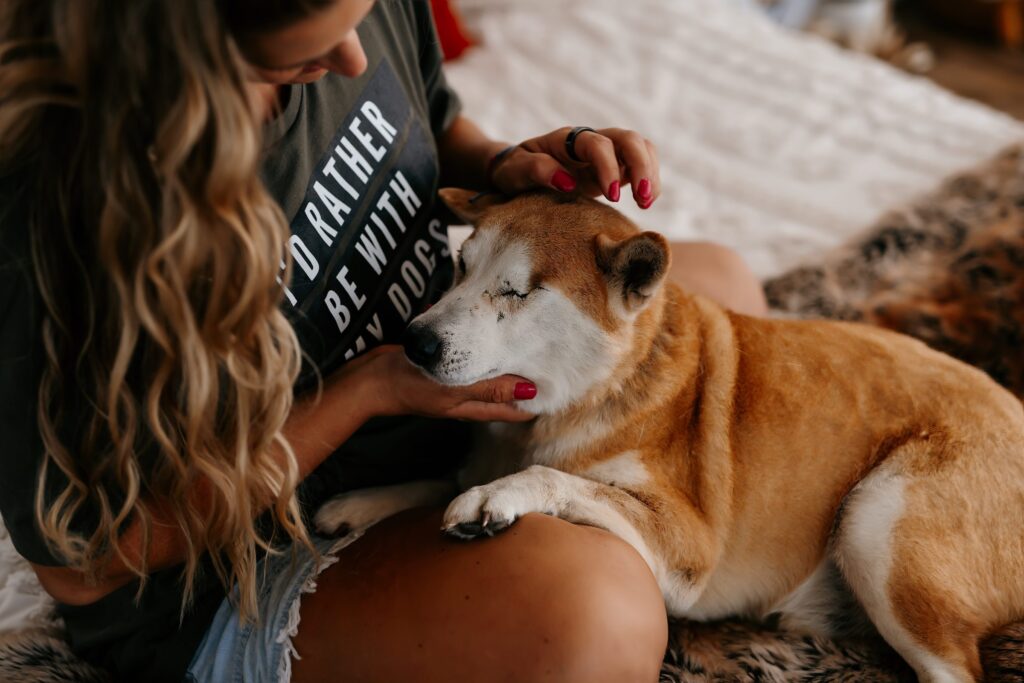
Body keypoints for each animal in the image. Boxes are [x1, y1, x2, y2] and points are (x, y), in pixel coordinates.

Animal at [317, 188, 1024, 683]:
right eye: (459, 268)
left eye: (515, 292)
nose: (414, 342)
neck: (580, 399)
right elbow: (439, 478)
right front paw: (359, 503)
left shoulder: (688, 544)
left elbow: (548, 477)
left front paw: (497, 497)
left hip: (874, 517)